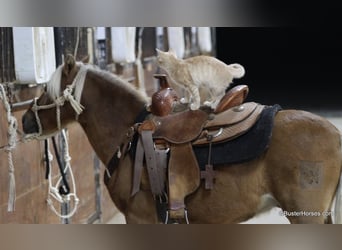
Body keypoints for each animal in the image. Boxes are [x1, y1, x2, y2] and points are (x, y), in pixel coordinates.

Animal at [21, 55, 342, 224]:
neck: (127, 135)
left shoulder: (138, 218)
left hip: (306, 215)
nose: (25, 120)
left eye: (49, 90)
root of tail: (336, 133)